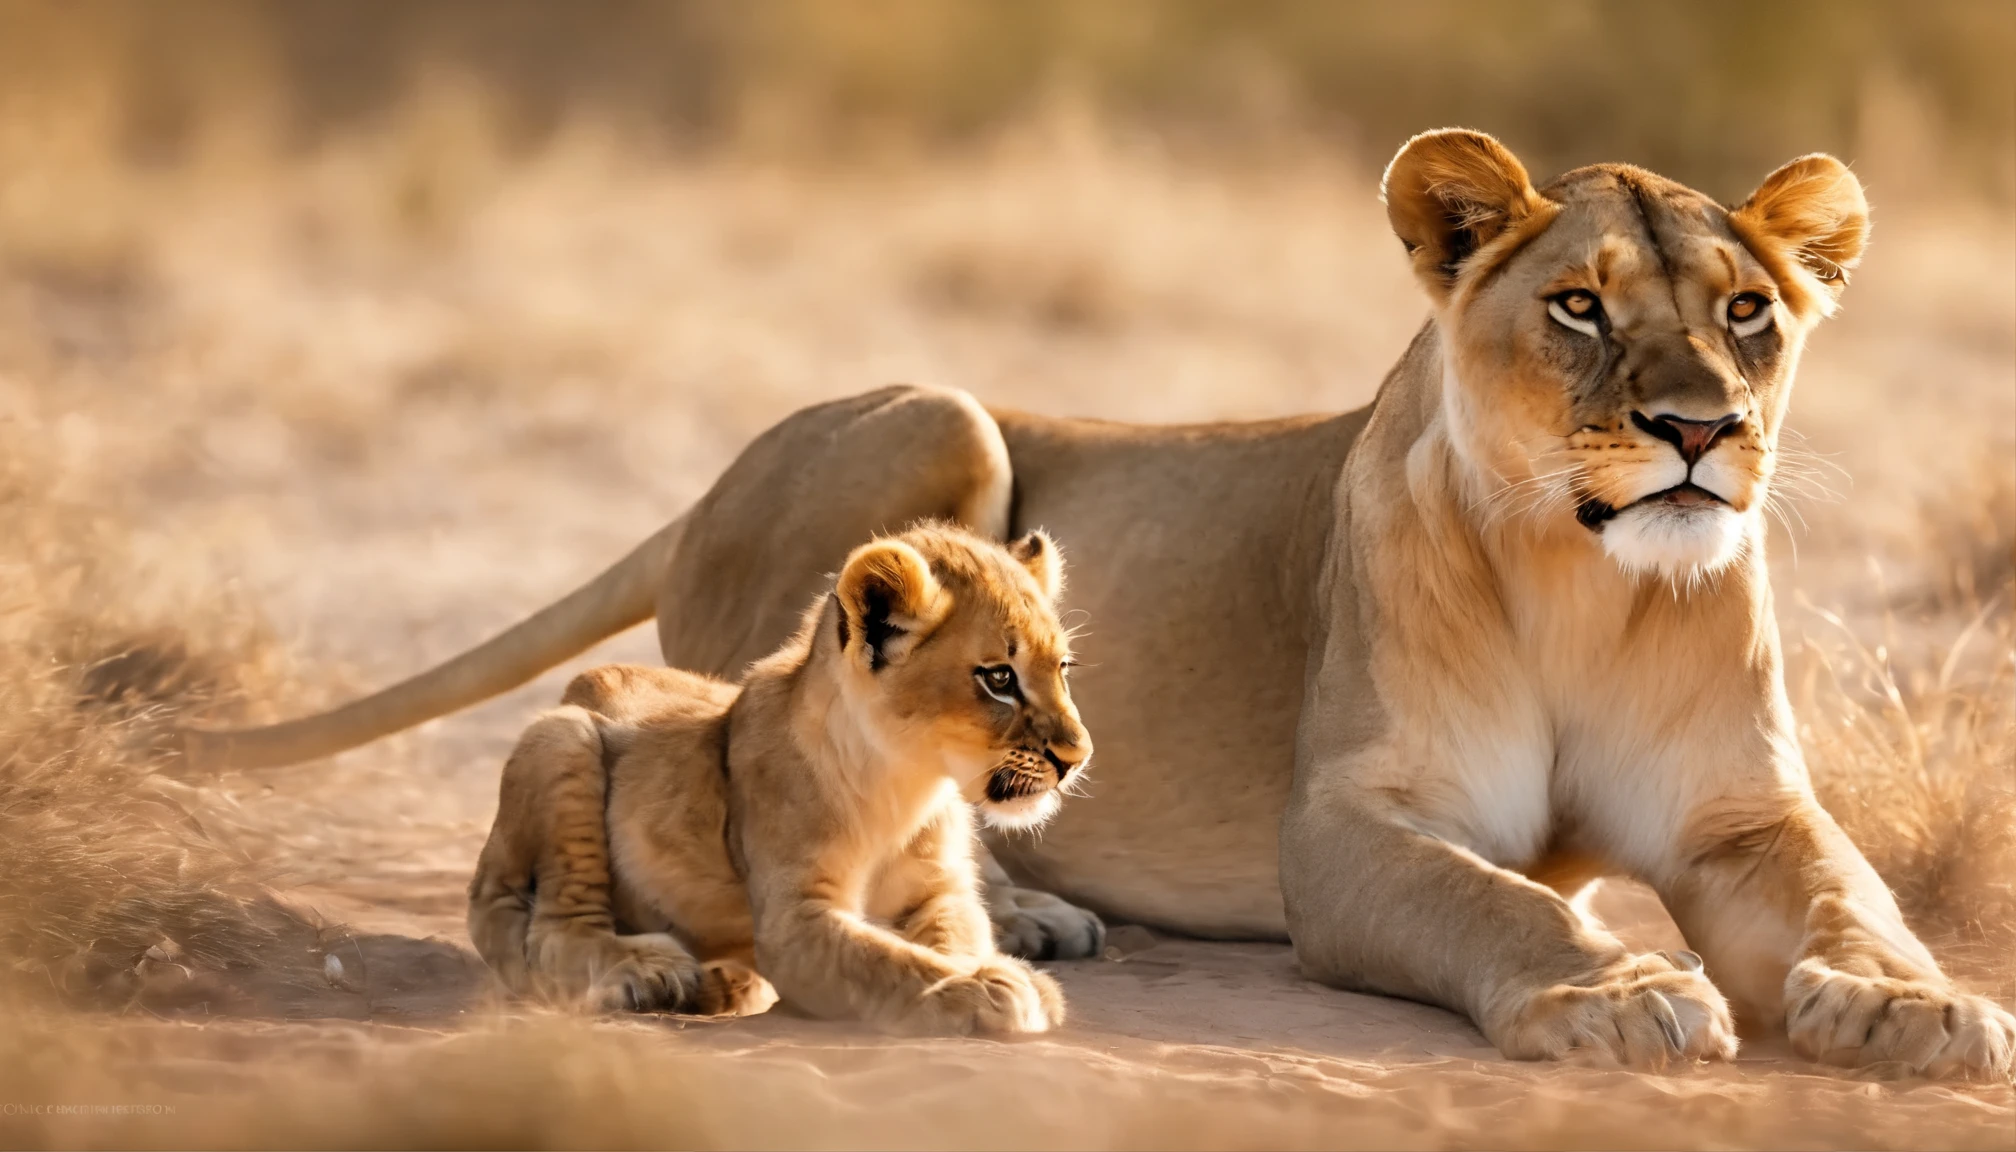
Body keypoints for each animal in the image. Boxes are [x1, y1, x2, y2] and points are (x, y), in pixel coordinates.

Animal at [468, 523, 1086, 1033]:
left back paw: (719, 983)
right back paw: (649, 973)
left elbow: (952, 939)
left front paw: (994, 971)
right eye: (999, 678)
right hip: (563, 736)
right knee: (538, 930)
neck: (907, 781)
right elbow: (890, 961)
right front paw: (986, 987)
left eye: (1062, 668)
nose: (1077, 756)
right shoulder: (794, 923)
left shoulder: (940, 894)